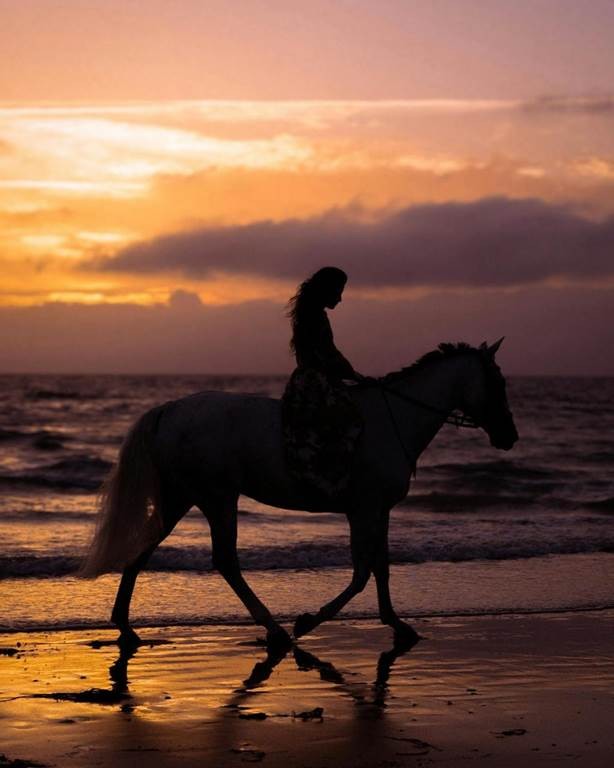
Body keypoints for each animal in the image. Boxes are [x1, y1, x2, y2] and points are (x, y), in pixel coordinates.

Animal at [81, 340, 518, 648]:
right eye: (498, 382)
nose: (509, 437)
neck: (394, 419)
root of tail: (168, 410)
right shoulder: (363, 509)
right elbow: (361, 573)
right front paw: (309, 622)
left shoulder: (380, 510)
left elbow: (381, 567)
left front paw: (396, 623)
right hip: (217, 497)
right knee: (224, 561)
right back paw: (275, 630)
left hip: (183, 497)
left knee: (146, 548)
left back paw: (124, 625)